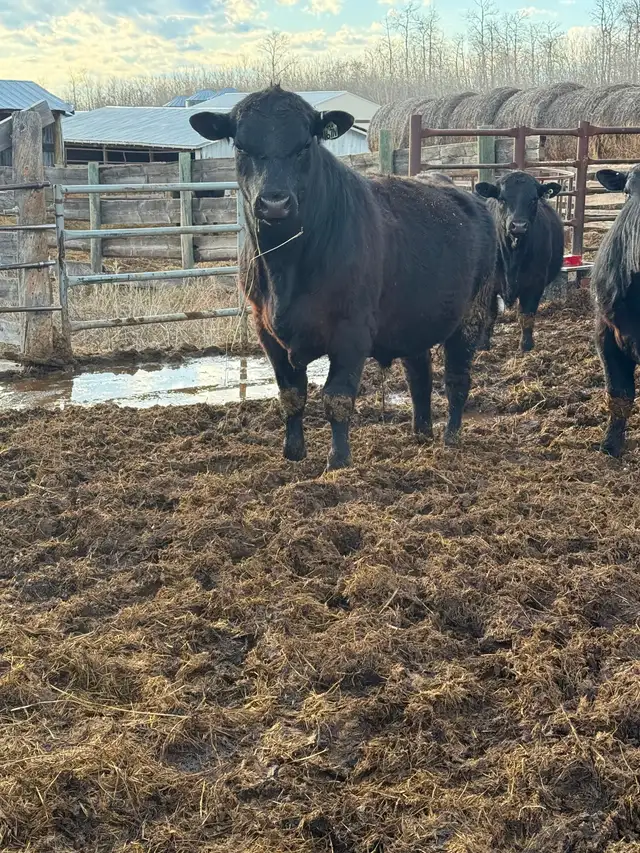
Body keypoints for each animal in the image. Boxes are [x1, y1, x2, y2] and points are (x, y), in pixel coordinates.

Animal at [190, 86, 498, 470]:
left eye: (305, 144)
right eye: (242, 146)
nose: (274, 203)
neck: (284, 268)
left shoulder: (351, 332)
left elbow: (337, 399)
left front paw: (337, 462)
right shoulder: (265, 331)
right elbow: (291, 395)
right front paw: (293, 454)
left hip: (471, 315)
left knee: (457, 378)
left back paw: (450, 438)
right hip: (415, 317)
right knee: (419, 374)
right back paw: (420, 433)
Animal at [474, 171, 564, 352]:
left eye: (534, 199)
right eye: (502, 199)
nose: (519, 226)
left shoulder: (535, 283)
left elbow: (526, 315)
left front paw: (526, 346)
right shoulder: (489, 284)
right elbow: (489, 314)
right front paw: (483, 345)